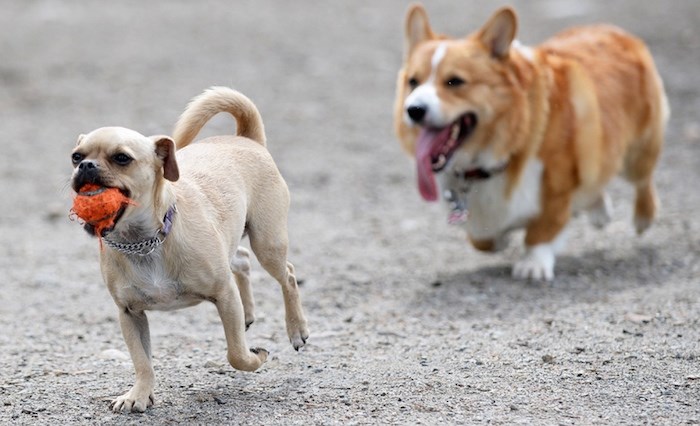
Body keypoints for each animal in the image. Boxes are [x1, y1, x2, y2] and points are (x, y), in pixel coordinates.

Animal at [70, 87, 308, 412]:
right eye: (75, 157)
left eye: (122, 158)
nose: (85, 166)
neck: (143, 242)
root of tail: (247, 139)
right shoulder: (130, 314)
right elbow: (142, 362)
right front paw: (138, 395)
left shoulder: (224, 295)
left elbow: (236, 353)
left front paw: (256, 357)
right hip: (236, 243)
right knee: (242, 260)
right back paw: (248, 313)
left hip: (267, 243)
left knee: (288, 275)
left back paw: (297, 330)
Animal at [394, 5, 668, 282]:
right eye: (413, 82)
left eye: (455, 81)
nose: (413, 110)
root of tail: (616, 31)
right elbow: (482, 237)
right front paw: (501, 240)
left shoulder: (557, 186)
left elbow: (542, 231)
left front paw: (533, 265)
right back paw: (598, 210)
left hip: (637, 154)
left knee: (643, 181)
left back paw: (643, 217)